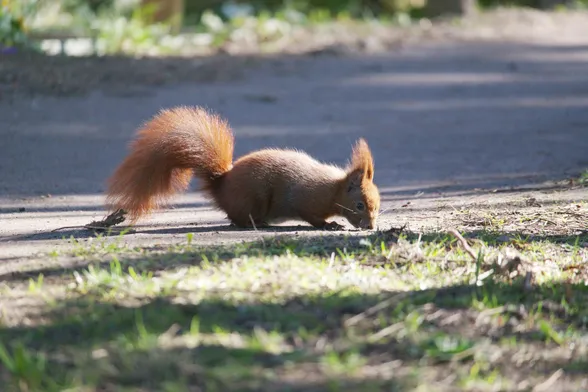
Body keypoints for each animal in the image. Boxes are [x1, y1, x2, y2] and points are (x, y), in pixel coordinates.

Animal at [105, 105, 382, 231]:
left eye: (377, 207)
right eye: (359, 205)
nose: (371, 227)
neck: (333, 190)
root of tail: (221, 185)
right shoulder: (305, 197)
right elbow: (311, 216)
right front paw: (329, 225)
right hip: (253, 199)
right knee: (237, 218)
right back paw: (257, 224)